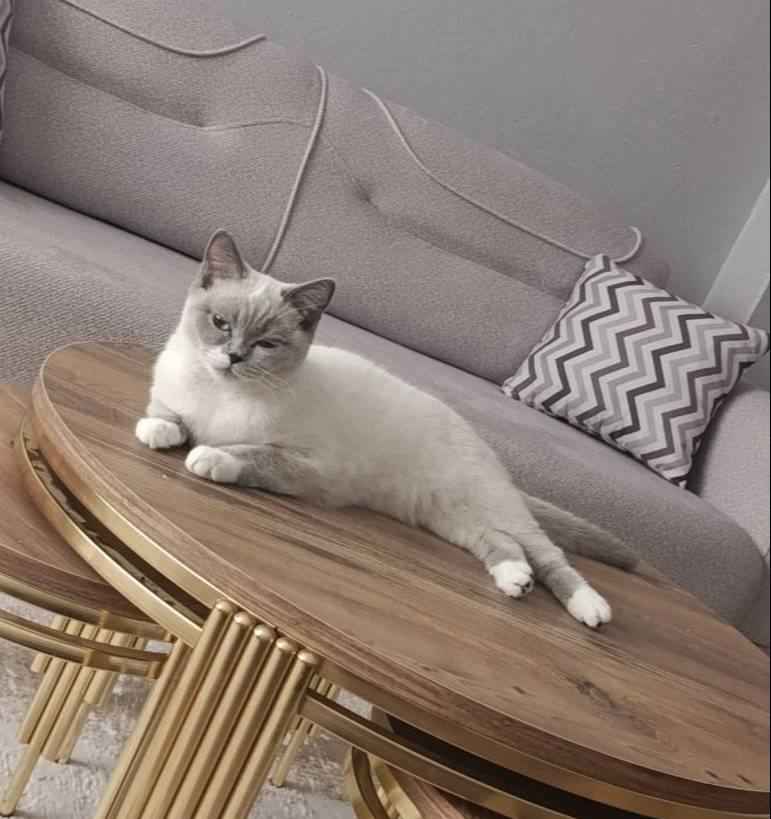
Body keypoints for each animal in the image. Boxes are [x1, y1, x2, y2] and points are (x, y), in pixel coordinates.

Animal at [136, 230, 637, 627]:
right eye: (220, 324)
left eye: (267, 344)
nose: (234, 357)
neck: (221, 395)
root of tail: (487, 450)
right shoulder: (174, 397)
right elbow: (166, 414)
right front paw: (161, 431)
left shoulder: (306, 464)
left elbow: (246, 455)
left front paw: (209, 456)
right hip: (450, 519)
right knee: (501, 542)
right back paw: (516, 579)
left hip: (490, 508)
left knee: (548, 553)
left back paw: (591, 609)